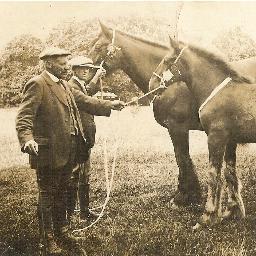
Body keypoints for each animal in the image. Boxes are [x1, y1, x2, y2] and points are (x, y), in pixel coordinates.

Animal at [89, 21, 256, 206]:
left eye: (98, 47)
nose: (84, 76)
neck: (172, 85)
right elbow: (181, 158)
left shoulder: (177, 128)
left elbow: (181, 157)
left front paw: (183, 196)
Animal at [150, 38, 256, 228]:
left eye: (168, 60)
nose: (152, 84)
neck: (216, 90)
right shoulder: (230, 140)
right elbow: (229, 172)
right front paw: (232, 212)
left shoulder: (215, 138)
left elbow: (213, 175)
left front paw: (207, 216)